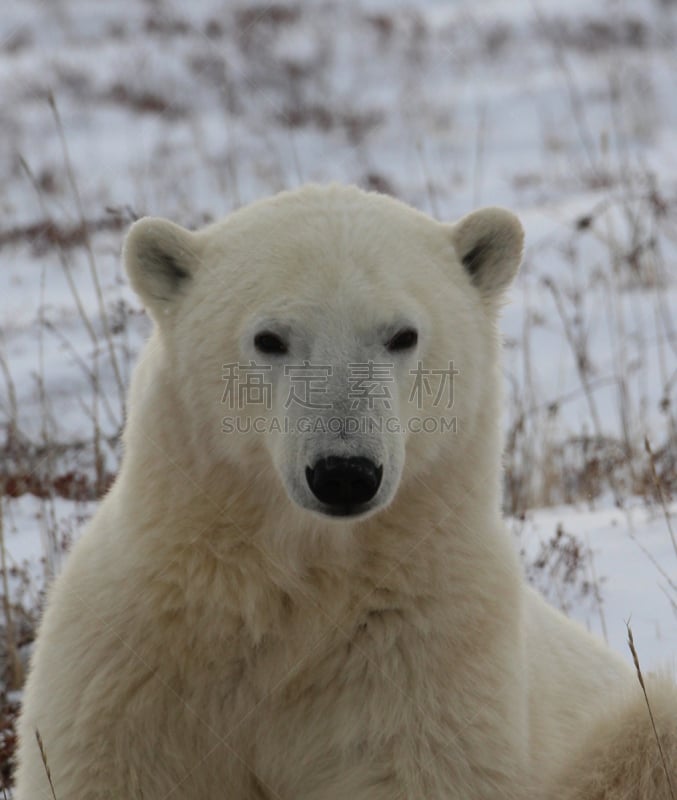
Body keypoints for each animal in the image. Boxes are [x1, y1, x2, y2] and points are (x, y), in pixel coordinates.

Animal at [13, 183, 672, 800]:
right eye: (269, 338)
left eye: (402, 335)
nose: (344, 473)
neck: (301, 589)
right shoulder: (134, 667)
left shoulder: (425, 662)